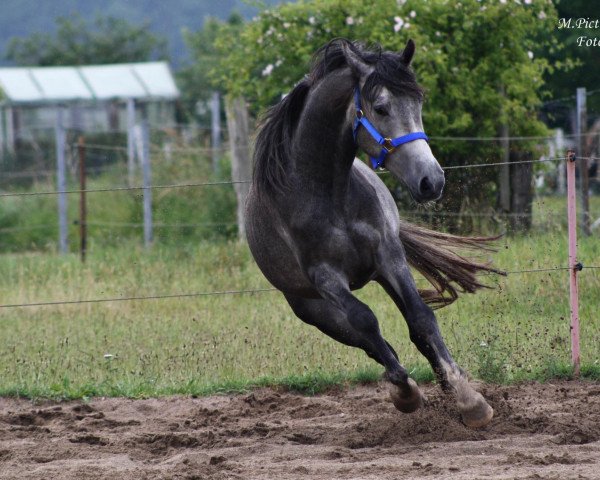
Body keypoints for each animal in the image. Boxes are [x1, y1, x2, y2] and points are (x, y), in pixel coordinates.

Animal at [246, 38, 500, 428]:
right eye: (380, 107)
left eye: (419, 103)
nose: (431, 181)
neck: (328, 194)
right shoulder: (326, 278)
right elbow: (366, 323)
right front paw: (406, 393)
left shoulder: (389, 256)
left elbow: (422, 320)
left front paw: (468, 397)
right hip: (312, 307)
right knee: (363, 338)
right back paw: (400, 383)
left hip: (378, 277)